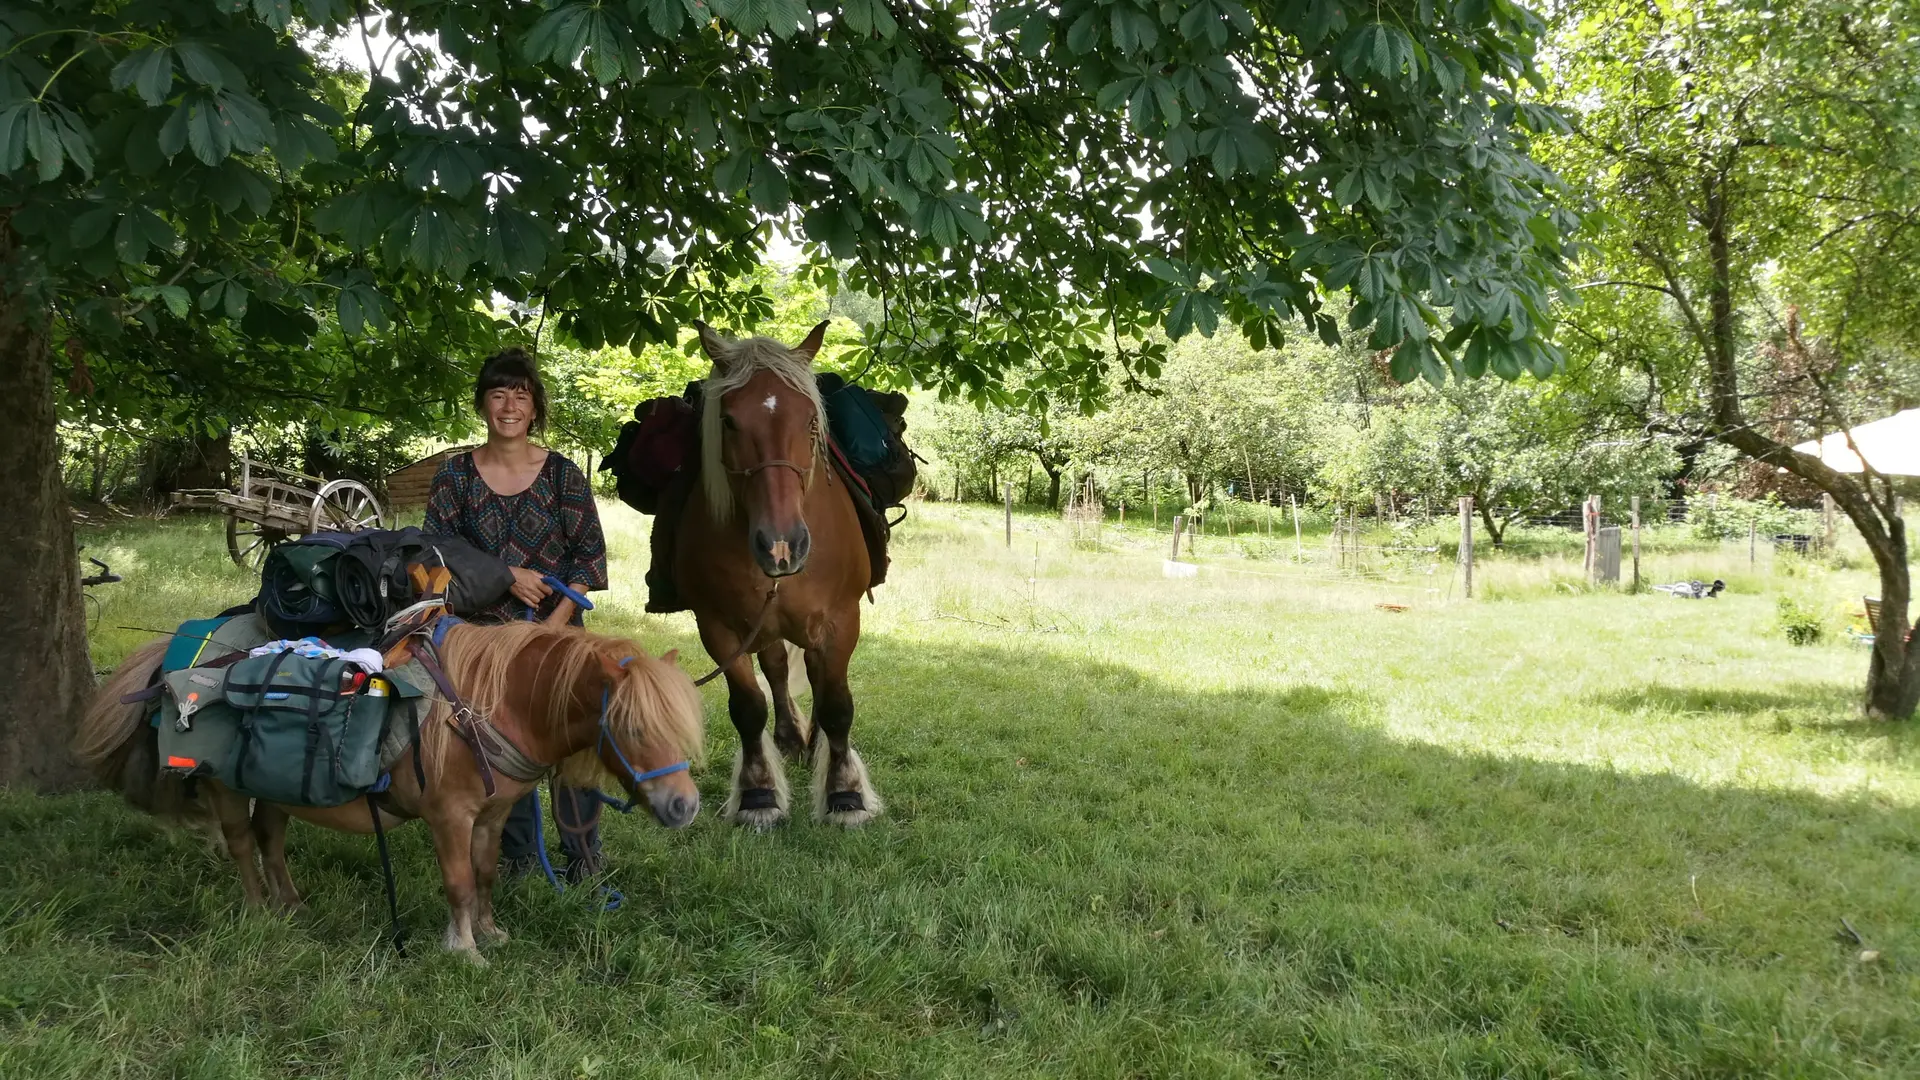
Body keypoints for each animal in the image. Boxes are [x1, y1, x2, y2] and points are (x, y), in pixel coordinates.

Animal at [76, 618, 706, 960]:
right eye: (632, 726)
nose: (685, 806)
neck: (489, 704)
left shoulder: (492, 815)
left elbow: (484, 876)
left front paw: (491, 933)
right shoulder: (449, 817)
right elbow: (458, 883)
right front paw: (464, 951)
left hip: (276, 791)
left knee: (271, 841)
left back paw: (291, 906)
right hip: (227, 787)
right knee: (241, 844)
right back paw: (259, 912)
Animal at [675, 319, 883, 822]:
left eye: (811, 421)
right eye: (729, 421)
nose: (781, 545)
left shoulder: (842, 619)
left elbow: (838, 705)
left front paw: (845, 794)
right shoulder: (718, 628)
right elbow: (748, 708)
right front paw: (758, 794)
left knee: (815, 674)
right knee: (776, 668)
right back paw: (790, 739)